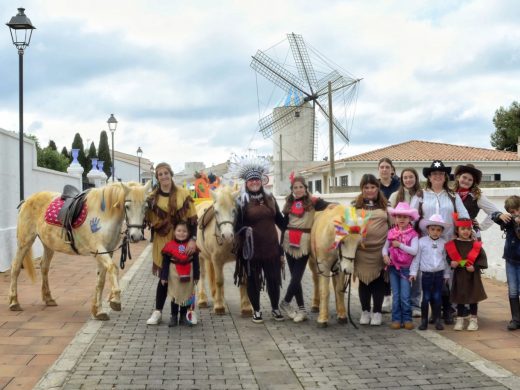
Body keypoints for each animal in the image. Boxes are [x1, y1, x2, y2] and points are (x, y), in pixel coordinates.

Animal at [8, 181, 150, 322]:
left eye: (145, 207)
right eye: (127, 206)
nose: (136, 236)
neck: (104, 214)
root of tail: (27, 200)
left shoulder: (106, 252)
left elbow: (101, 280)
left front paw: (98, 311)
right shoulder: (98, 249)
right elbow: (113, 268)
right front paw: (115, 301)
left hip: (48, 244)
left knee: (44, 267)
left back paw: (48, 298)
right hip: (25, 241)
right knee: (15, 267)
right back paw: (14, 302)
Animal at [195, 184, 252, 316]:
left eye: (234, 210)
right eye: (216, 212)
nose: (227, 235)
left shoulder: (241, 258)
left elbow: (244, 280)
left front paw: (246, 306)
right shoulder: (216, 259)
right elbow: (219, 281)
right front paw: (219, 306)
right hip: (200, 256)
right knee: (202, 275)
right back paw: (202, 299)